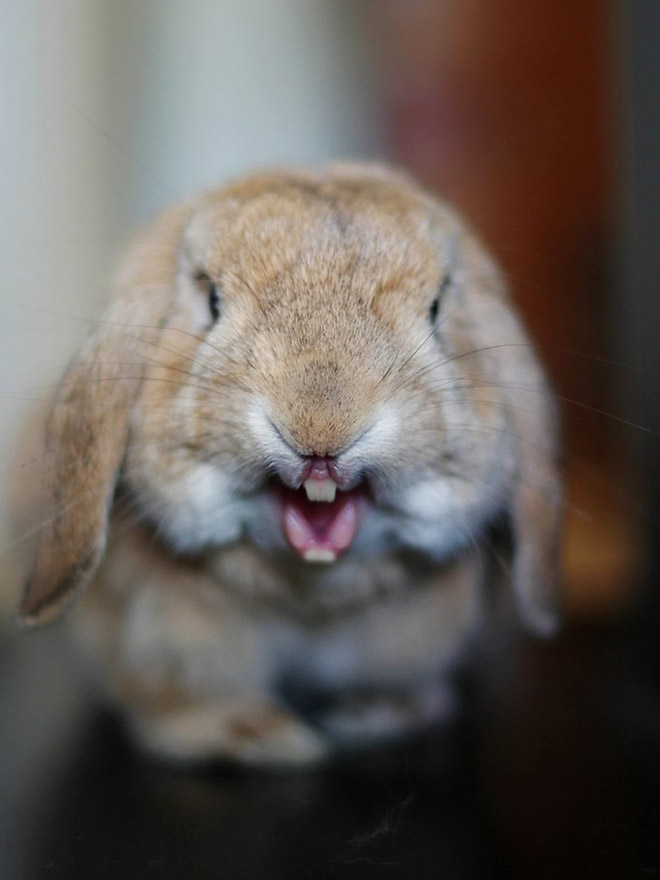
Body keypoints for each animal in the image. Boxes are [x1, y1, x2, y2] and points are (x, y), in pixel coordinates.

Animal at [16, 162, 564, 768]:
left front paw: (378, 716)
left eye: (438, 309)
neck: (310, 591)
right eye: (211, 301)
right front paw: (254, 735)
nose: (320, 428)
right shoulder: (169, 636)